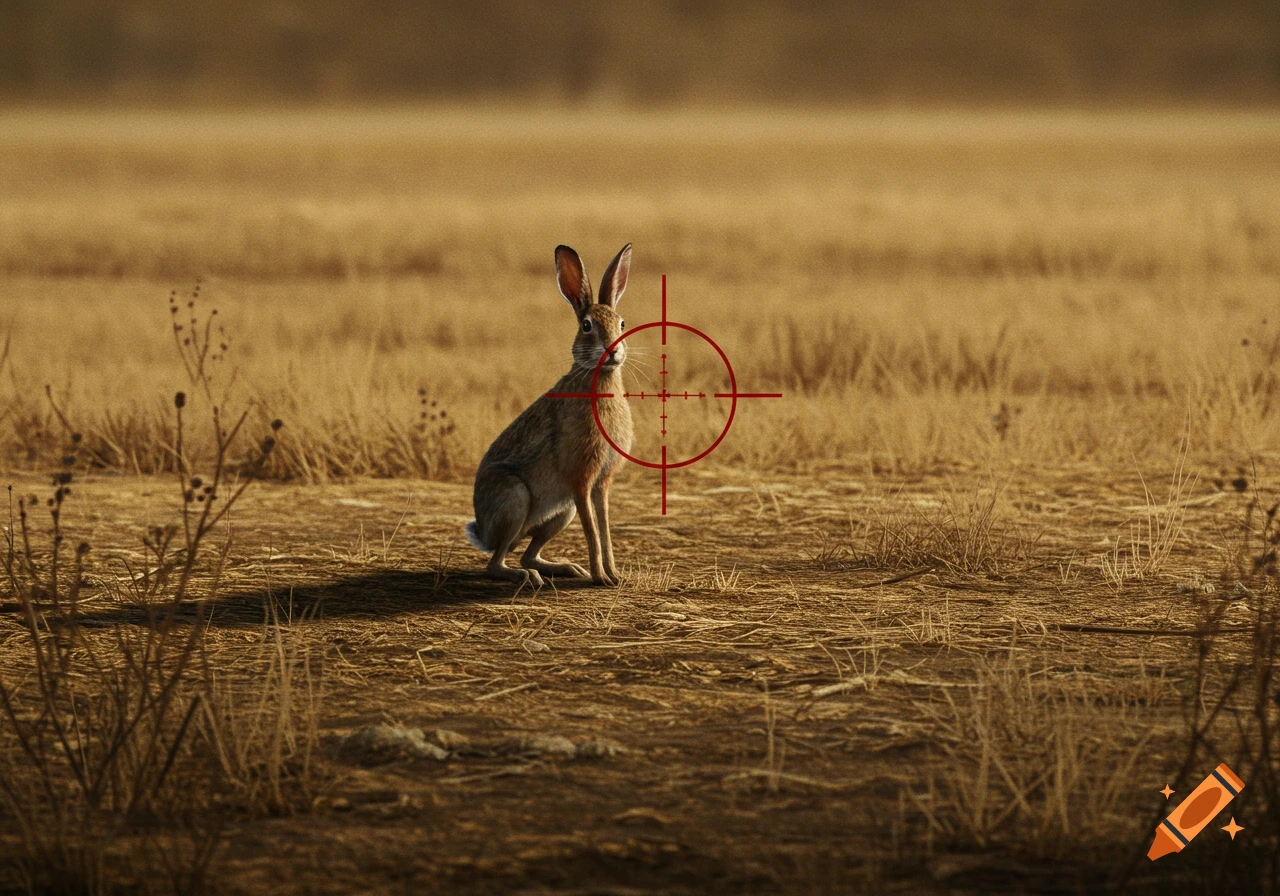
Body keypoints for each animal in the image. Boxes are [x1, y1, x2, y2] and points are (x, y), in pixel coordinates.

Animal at [465, 244, 634, 587]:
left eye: (621, 324)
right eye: (586, 326)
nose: (613, 350)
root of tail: (483, 533)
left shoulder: (600, 484)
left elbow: (605, 530)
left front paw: (615, 575)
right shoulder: (580, 479)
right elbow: (592, 532)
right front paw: (601, 577)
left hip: (560, 512)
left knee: (527, 553)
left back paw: (566, 568)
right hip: (516, 500)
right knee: (495, 563)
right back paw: (527, 577)